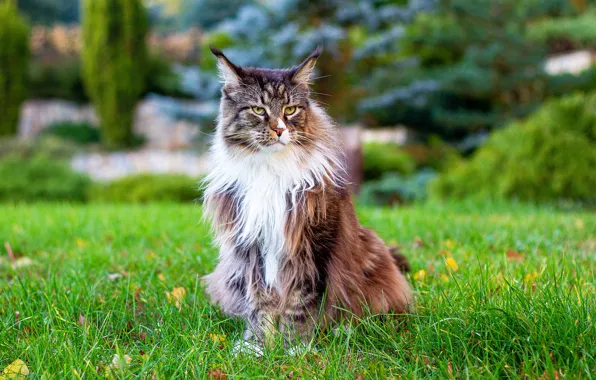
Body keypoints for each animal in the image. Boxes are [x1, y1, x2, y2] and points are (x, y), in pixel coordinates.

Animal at [203, 46, 412, 352]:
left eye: (290, 110)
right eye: (258, 110)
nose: (279, 130)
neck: (270, 170)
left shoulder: (313, 247)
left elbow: (301, 304)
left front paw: (295, 348)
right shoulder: (252, 249)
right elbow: (261, 305)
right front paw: (261, 347)